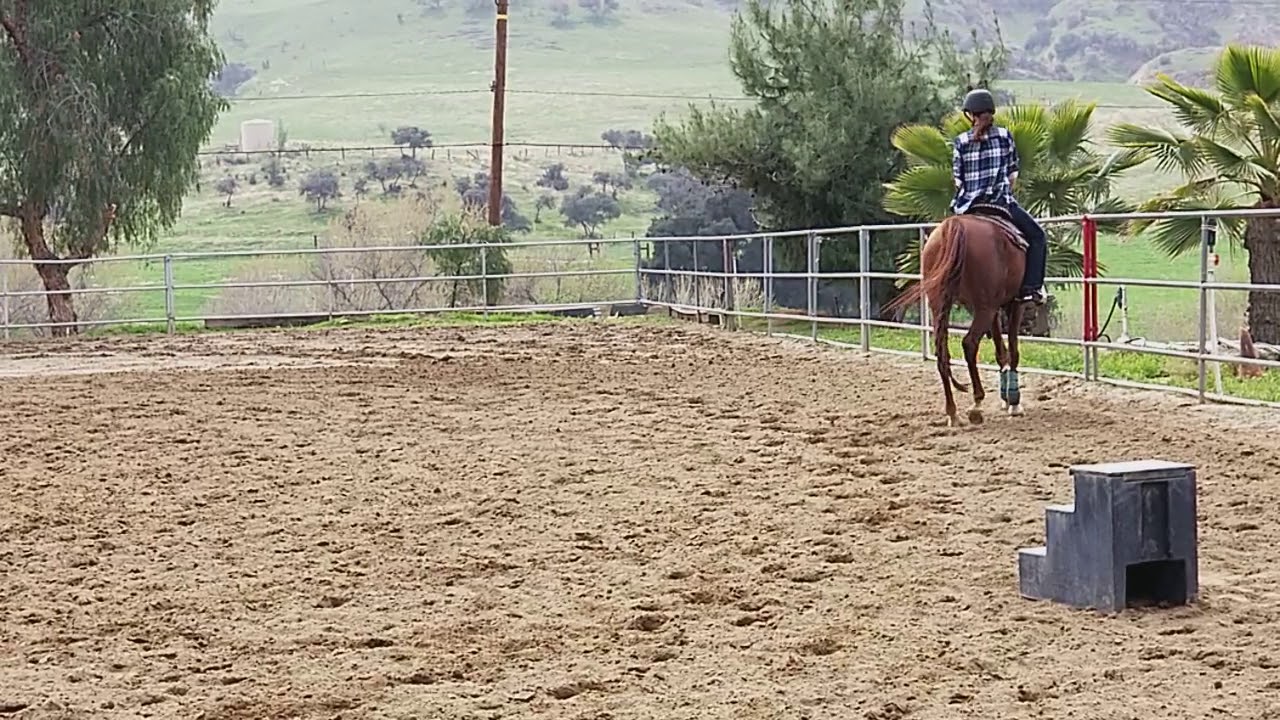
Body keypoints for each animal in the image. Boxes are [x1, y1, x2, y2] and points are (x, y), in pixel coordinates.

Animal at [883, 205, 1031, 427]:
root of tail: (953, 226)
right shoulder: (1014, 303)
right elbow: (1012, 349)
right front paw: (1014, 402)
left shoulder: (995, 309)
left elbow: (1000, 351)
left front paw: (1006, 399)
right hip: (984, 307)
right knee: (969, 344)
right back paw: (976, 403)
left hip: (942, 304)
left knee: (942, 353)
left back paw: (952, 413)